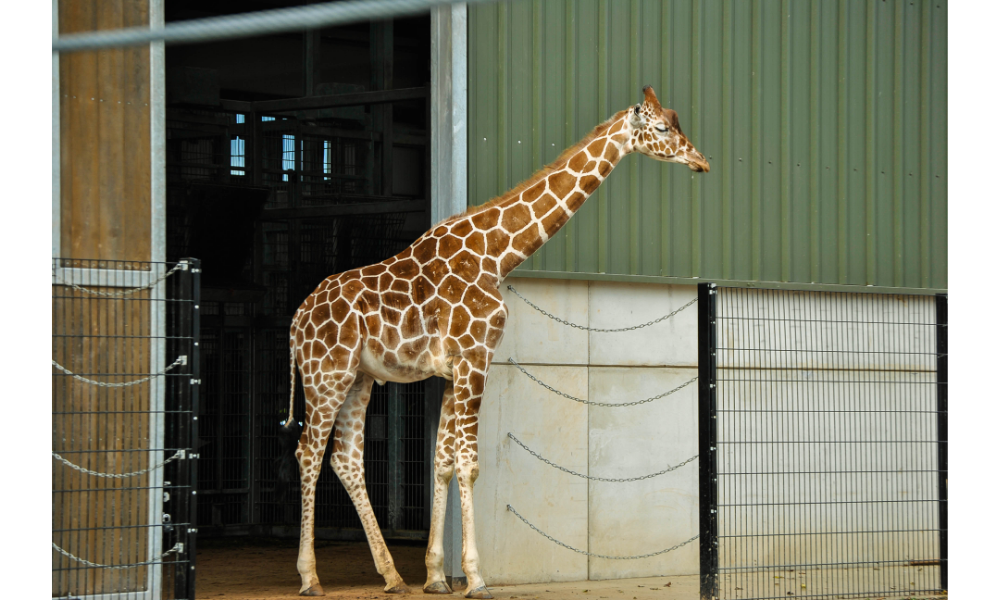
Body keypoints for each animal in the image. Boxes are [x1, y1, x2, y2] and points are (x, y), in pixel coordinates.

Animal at [282, 85, 704, 600]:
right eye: (662, 127)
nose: (701, 161)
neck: (497, 254)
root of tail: (296, 320)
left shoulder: (454, 369)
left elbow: (442, 461)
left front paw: (436, 576)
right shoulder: (476, 358)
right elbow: (468, 464)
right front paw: (477, 577)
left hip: (359, 377)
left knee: (346, 459)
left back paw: (392, 575)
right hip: (327, 373)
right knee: (308, 452)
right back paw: (309, 577)